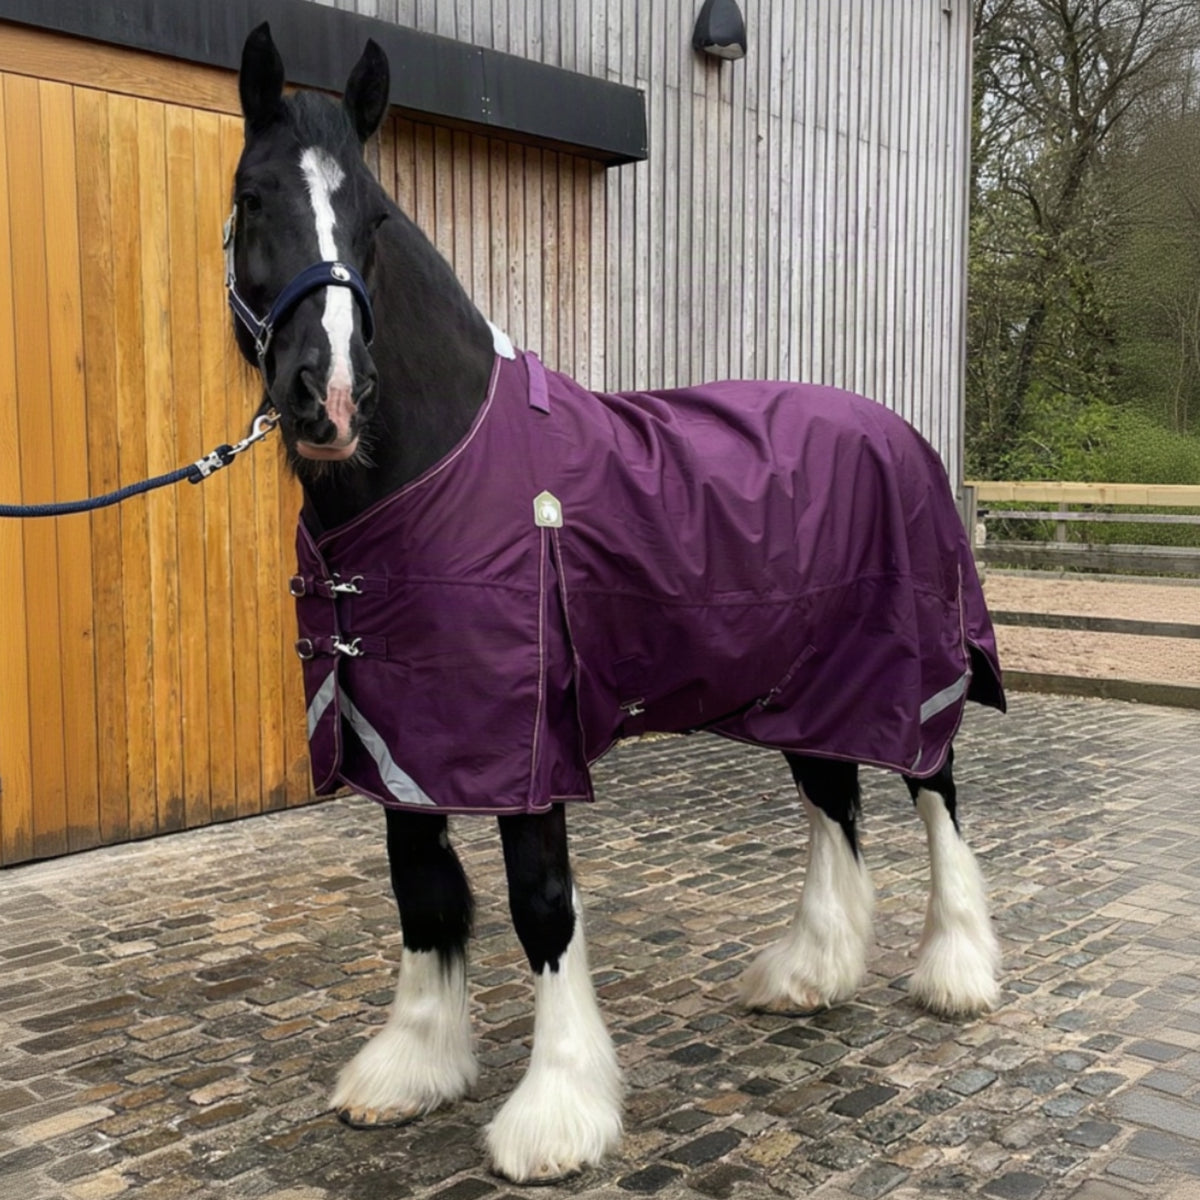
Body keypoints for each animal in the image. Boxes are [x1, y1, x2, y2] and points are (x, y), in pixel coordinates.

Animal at [227, 24, 1006, 1184]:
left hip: (908, 672)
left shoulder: (525, 743)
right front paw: (410, 1071)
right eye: (253, 197)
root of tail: (896, 429)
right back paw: (810, 971)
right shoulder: (402, 738)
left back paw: (955, 971)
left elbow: (541, 906)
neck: (438, 470)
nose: (326, 396)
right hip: (803, 683)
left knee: (932, 788)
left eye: (374, 217)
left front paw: (556, 1116)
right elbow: (423, 894)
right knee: (834, 801)